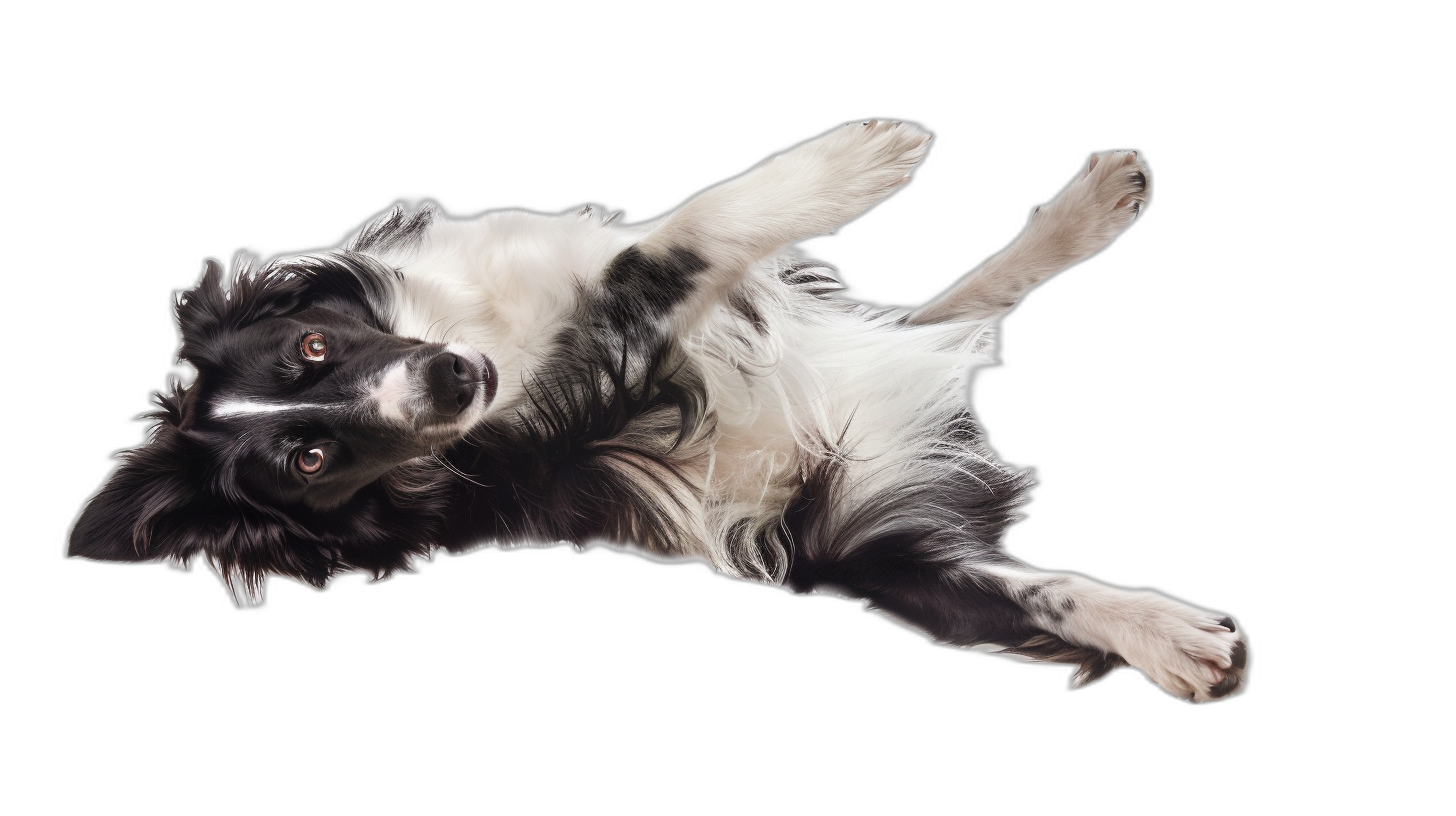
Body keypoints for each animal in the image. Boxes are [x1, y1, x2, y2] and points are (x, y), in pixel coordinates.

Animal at [68, 119, 1252, 702]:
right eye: (310, 460)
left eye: (311, 349)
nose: (450, 386)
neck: (492, 346)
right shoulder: (620, 353)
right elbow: (676, 236)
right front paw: (859, 156)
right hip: (878, 552)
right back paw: (1178, 642)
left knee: (952, 317)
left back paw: (1093, 205)